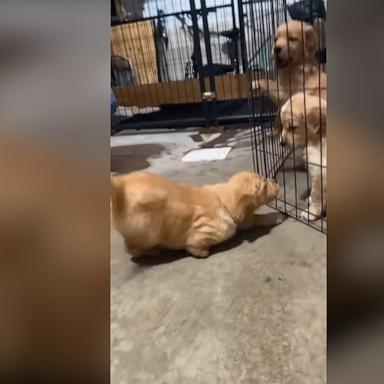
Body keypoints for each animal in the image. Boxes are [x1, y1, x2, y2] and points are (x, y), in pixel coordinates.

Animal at [109, 172, 280, 258]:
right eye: (265, 186)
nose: (276, 180)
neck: (222, 199)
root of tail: (119, 186)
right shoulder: (201, 234)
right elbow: (196, 247)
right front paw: (202, 252)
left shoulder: (244, 219)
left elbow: (256, 218)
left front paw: (277, 216)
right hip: (149, 231)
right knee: (130, 247)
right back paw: (153, 251)